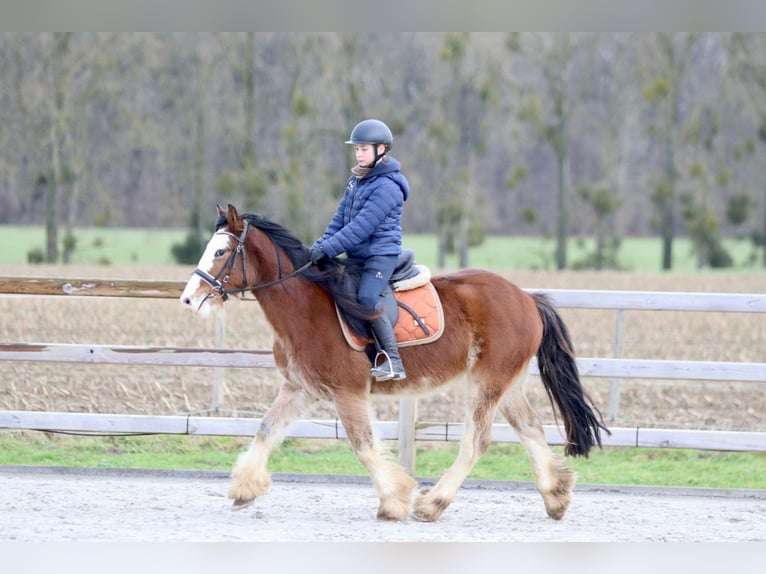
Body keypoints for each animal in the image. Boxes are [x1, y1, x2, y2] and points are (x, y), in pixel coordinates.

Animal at [180, 205, 612, 524]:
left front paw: (395, 501)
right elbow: (266, 430)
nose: (188, 299)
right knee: (531, 428)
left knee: (477, 440)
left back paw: (432, 504)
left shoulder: (348, 392)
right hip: (506, 383)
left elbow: (364, 445)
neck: (306, 308)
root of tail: (526, 298)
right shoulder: (299, 388)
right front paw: (244, 489)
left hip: (487, 382)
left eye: (220, 252)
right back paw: (556, 496)